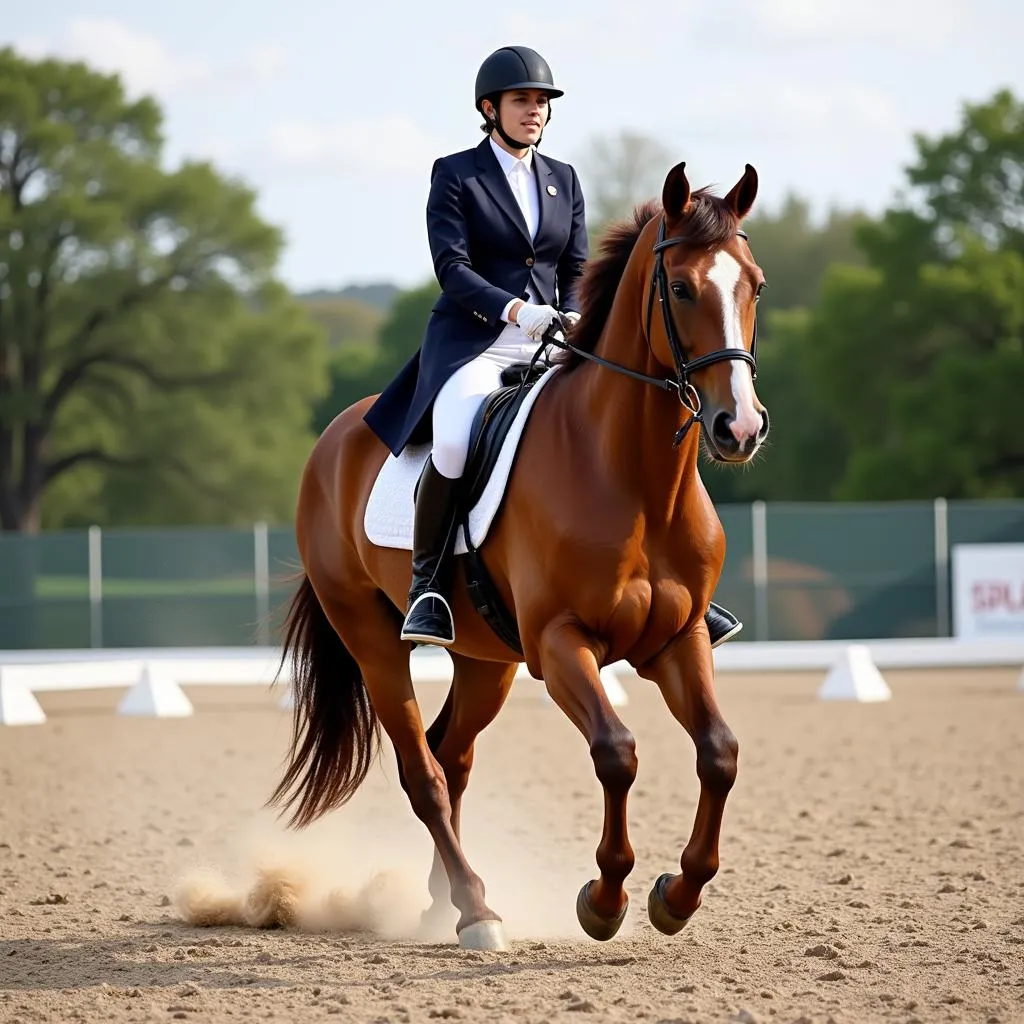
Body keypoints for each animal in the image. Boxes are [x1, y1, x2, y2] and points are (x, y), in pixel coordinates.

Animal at [270, 159, 770, 950]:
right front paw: (604, 899)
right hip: (373, 638)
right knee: (422, 771)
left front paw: (678, 895)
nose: (740, 428)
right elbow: (617, 752)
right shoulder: (562, 642)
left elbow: (720, 752)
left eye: (754, 285)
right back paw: (477, 911)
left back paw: (442, 904)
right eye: (683, 288)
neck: (633, 478)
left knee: (451, 754)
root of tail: (336, 438)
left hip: (486, 660)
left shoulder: (679, 638)